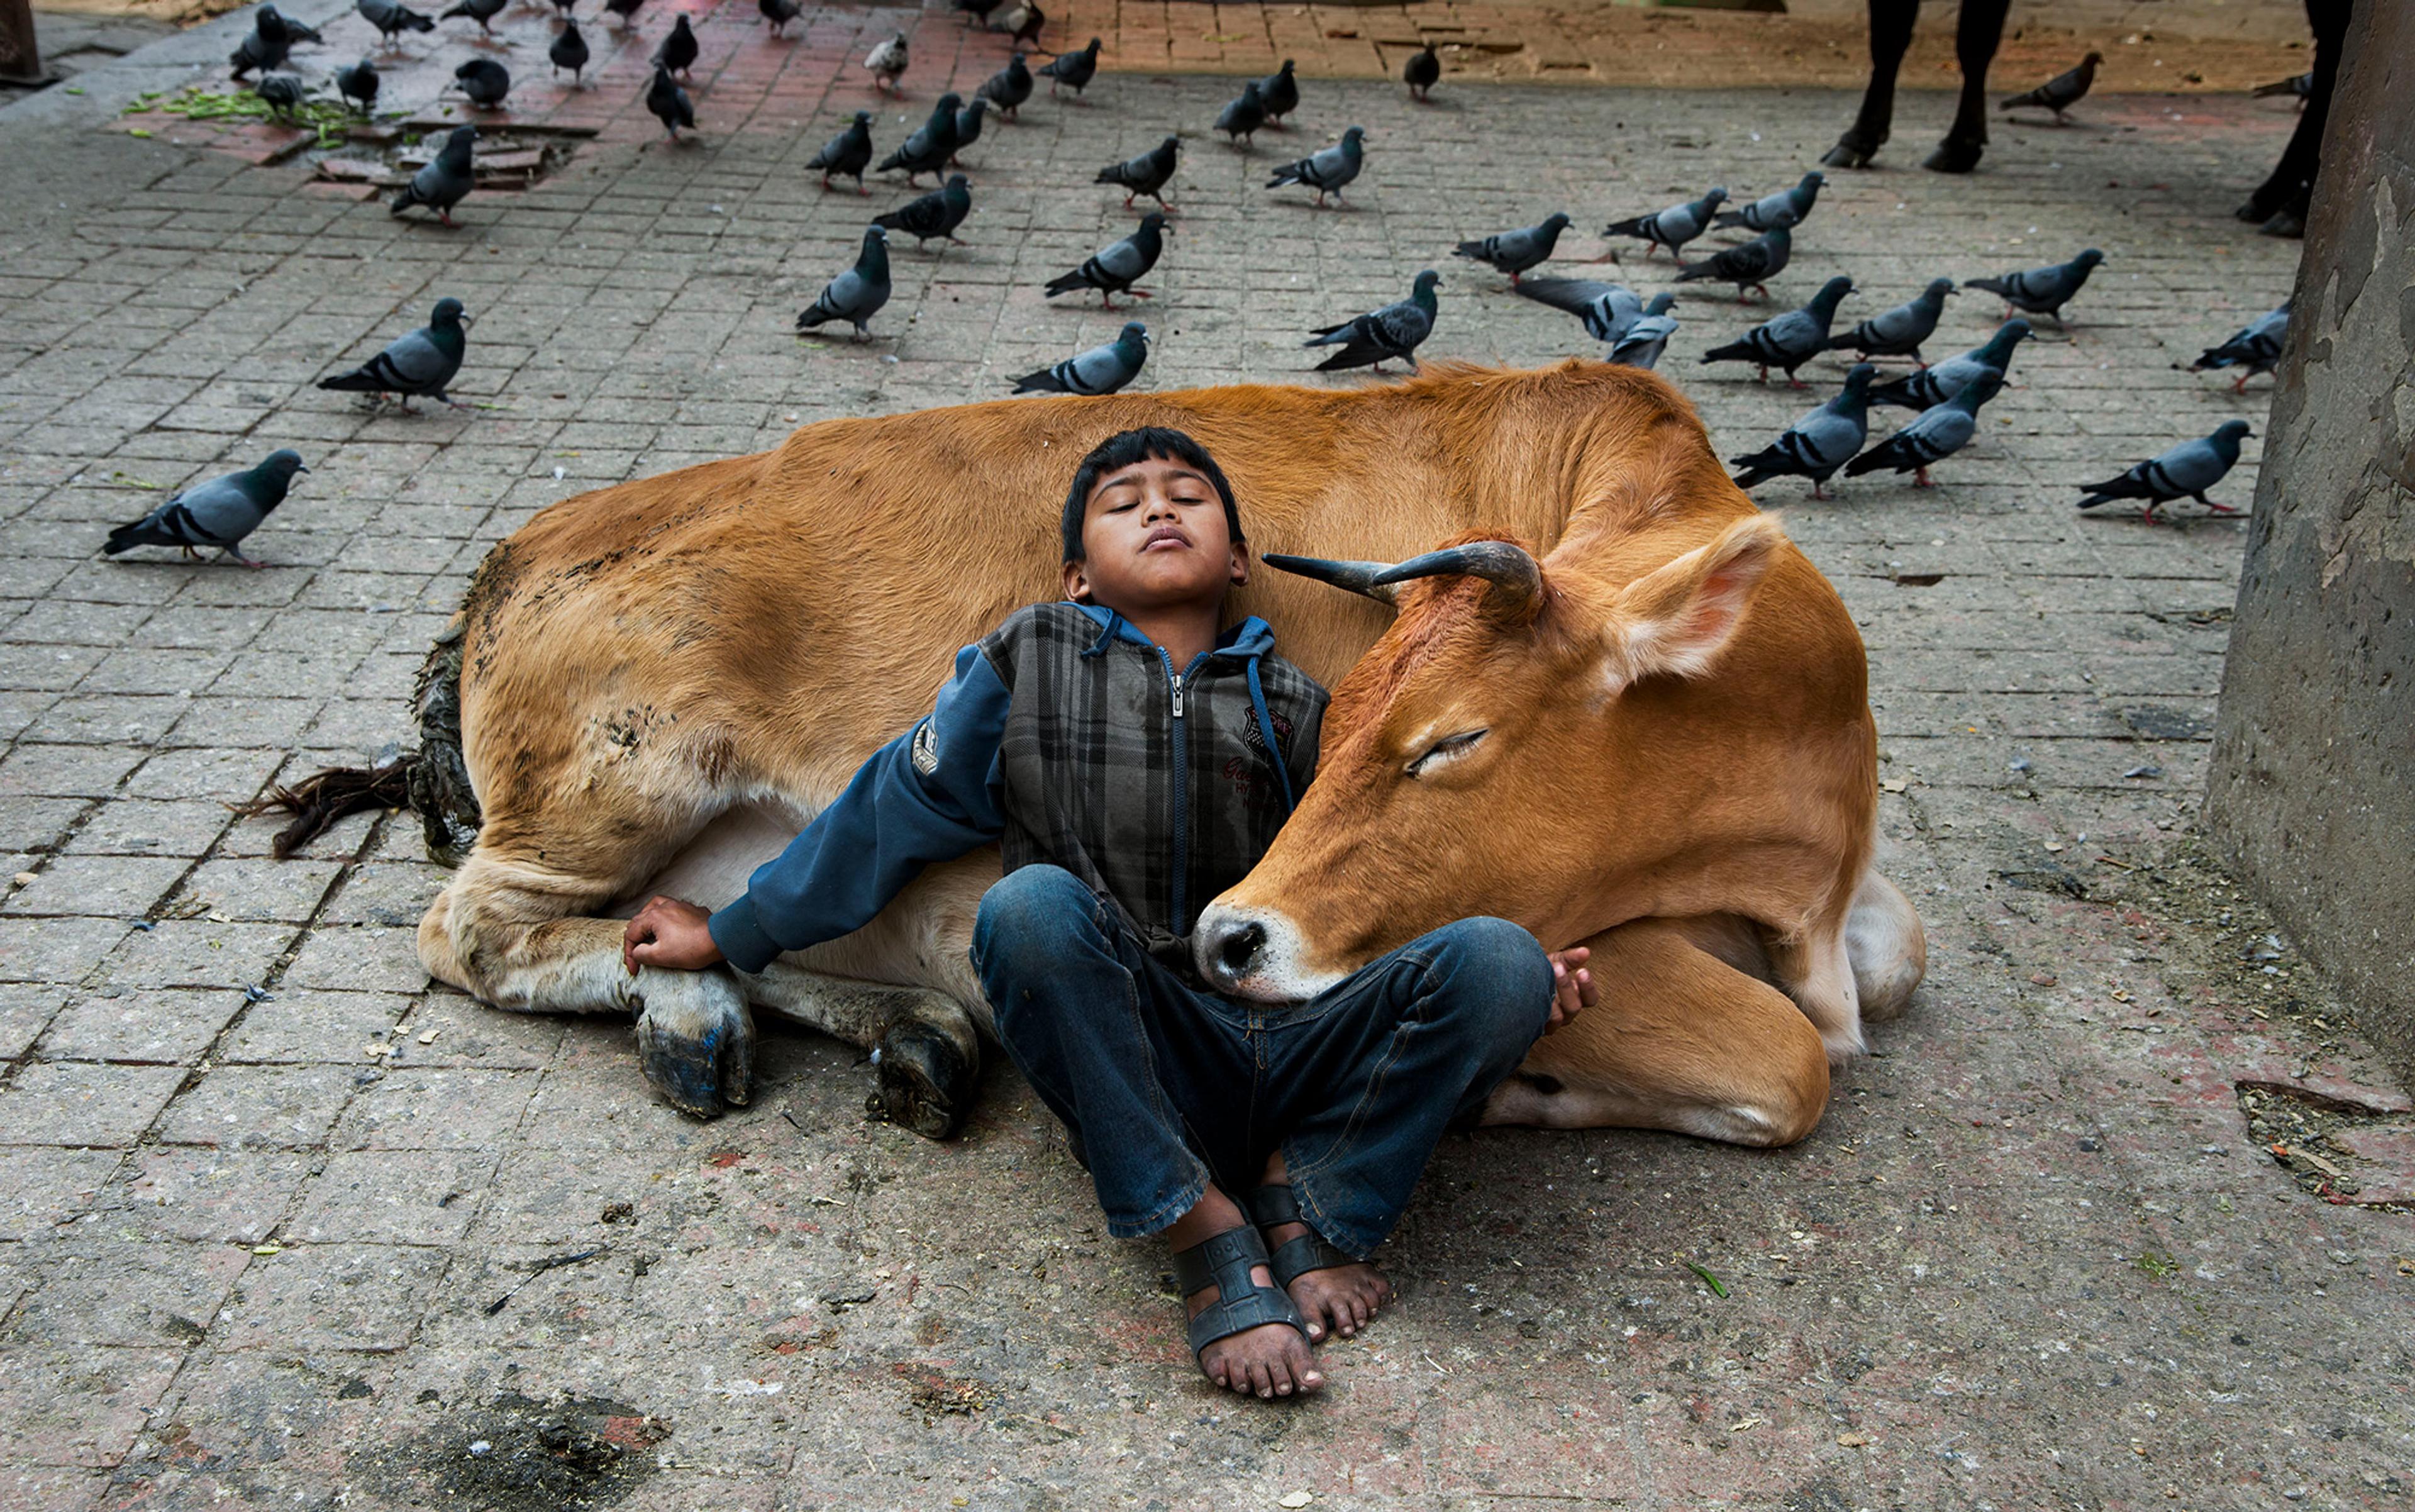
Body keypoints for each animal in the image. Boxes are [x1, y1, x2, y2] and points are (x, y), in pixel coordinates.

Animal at [264, 364, 1922, 1140]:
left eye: (1450, 738)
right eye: (1366, 723)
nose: (1234, 937)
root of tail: (526, 541)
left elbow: (1895, 965)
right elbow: (1787, 1057)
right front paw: (1527, 1089)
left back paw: (903, 1028)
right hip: (617, 772)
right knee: (474, 930)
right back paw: (699, 1008)